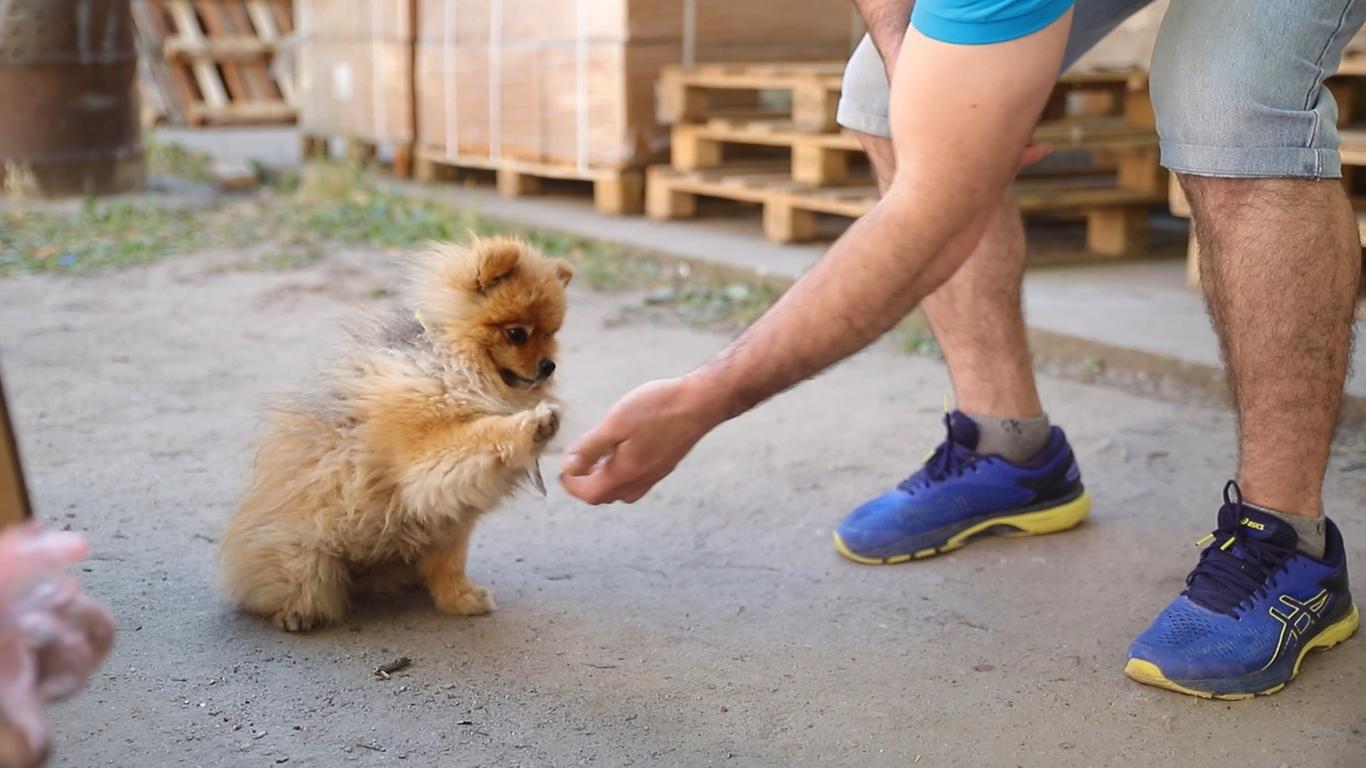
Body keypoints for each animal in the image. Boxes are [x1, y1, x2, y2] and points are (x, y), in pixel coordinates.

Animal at [219, 237, 570, 628]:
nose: (548, 366)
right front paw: (531, 426)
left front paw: (459, 597)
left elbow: (451, 561)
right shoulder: (422, 453)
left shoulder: (454, 513)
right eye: (516, 334)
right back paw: (293, 614)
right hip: (306, 560)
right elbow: (478, 435)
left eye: (551, 334)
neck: (454, 361)